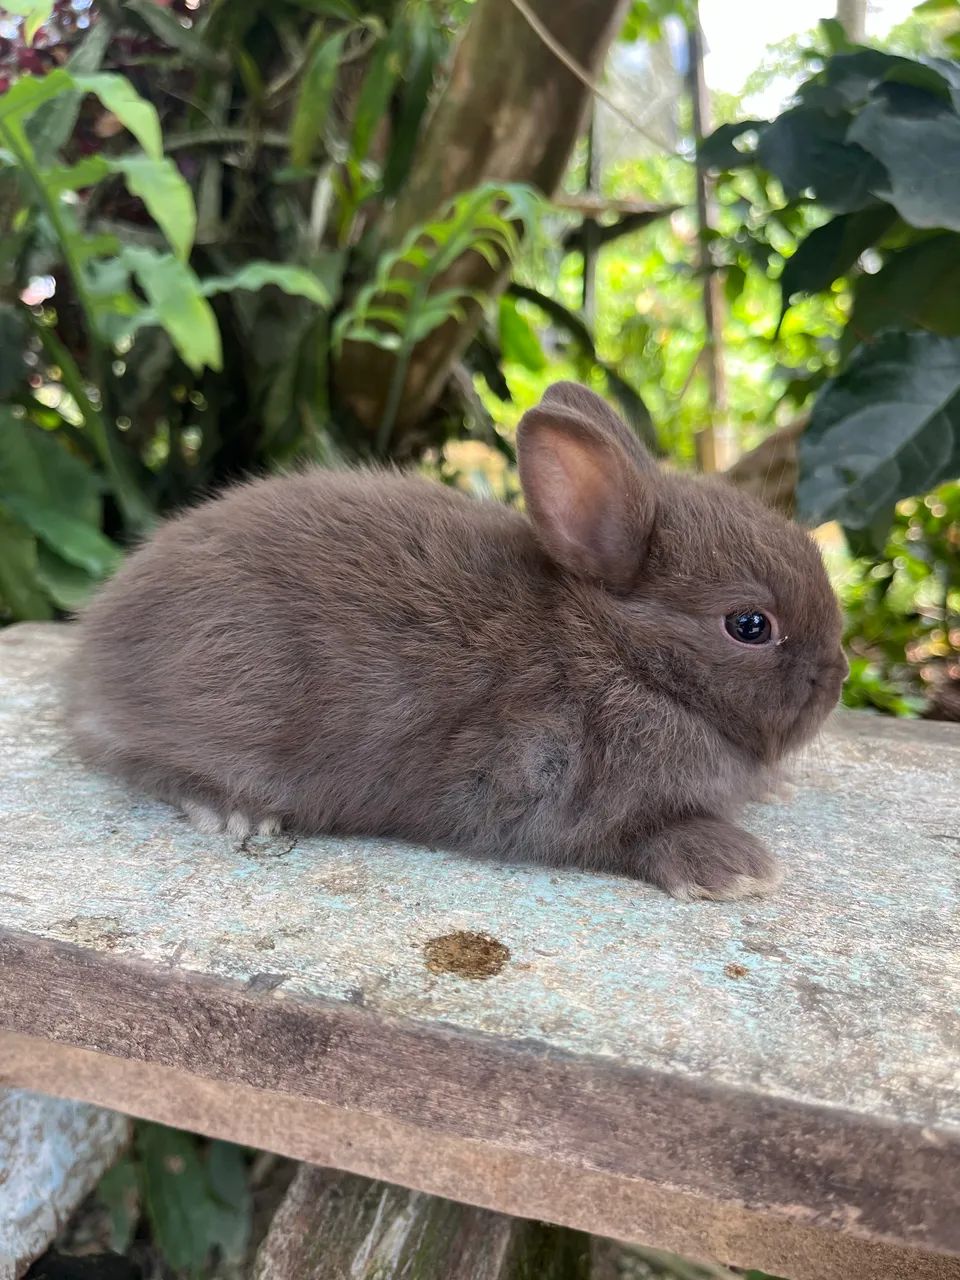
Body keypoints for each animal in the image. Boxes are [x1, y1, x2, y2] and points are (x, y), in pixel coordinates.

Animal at [67, 382, 847, 901]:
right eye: (750, 626)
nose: (837, 678)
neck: (622, 651)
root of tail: (100, 635)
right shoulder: (542, 784)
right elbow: (629, 836)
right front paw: (733, 866)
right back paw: (237, 813)